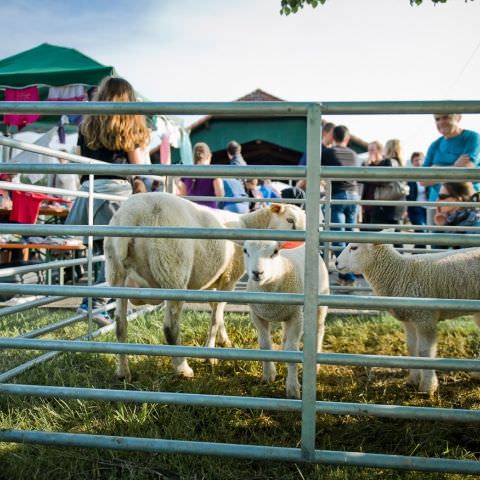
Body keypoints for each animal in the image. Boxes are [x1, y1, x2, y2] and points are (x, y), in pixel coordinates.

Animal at [105, 192, 308, 382]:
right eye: (290, 220)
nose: (300, 245)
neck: (250, 225)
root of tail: (134, 213)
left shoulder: (212, 280)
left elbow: (215, 310)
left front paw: (223, 340)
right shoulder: (228, 278)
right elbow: (216, 316)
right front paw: (210, 355)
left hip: (116, 274)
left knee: (120, 325)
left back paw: (123, 372)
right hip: (173, 270)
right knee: (170, 328)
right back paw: (183, 369)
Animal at [242, 239, 328, 398]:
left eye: (275, 251)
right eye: (245, 250)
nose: (257, 273)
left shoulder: (296, 316)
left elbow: (292, 349)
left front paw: (293, 388)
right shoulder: (257, 316)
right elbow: (265, 345)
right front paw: (268, 376)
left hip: (321, 301)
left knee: (319, 330)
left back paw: (317, 365)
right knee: (286, 335)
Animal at [336, 242, 480, 396]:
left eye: (354, 248)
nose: (336, 262)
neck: (399, 273)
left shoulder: (425, 318)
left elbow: (425, 352)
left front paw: (427, 387)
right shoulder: (409, 320)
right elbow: (412, 349)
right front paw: (413, 380)